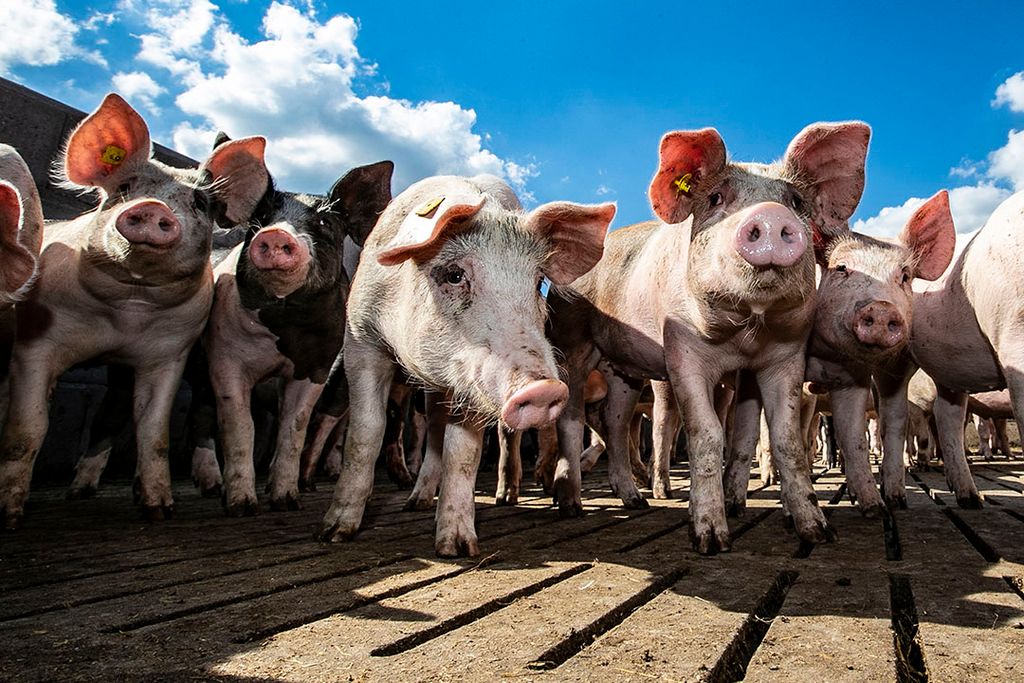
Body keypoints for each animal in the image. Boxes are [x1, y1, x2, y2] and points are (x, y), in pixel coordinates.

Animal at [0, 92, 268, 528]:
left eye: (199, 202)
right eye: (125, 187)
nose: (153, 209)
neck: (127, 310)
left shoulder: (168, 353)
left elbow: (154, 429)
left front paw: (159, 510)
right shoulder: (36, 342)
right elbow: (28, 426)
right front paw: (9, 517)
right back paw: (79, 492)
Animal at [206, 158, 391, 511]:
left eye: (323, 222)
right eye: (261, 218)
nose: (277, 234)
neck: (285, 326)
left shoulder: (318, 367)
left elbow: (295, 426)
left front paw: (286, 501)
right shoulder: (224, 356)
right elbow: (240, 425)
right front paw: (243, 506)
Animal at [315, 175, 610, 557]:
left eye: (537, 283)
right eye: (454, 275)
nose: (544, 389)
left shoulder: (470, 379)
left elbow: (463, 451)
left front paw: (456, 549)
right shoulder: (360, 338)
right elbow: (367, 430)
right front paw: (334, 533)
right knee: (431, 429)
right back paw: (414, 502)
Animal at [548, 120, 868, 552]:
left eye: (796, 202)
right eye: (716, 198)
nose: (770, 216)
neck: (745, 331)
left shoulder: (786, 356)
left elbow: (785, 440)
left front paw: (818, 533)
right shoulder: (681, 349)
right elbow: (707, 433)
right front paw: (710, 540)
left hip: (623, 370)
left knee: (614, 423)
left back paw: (635, 502)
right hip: (570, 341)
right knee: (572, 418)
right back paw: (571, 508)